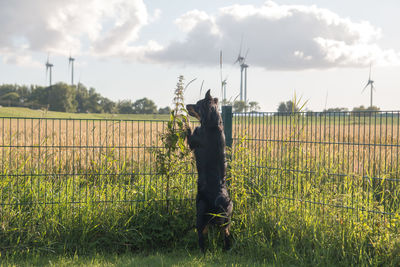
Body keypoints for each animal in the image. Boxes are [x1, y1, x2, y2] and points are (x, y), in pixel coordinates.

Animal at [186, 90, 233, 253]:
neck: (213, 123)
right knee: (226, 234)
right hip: (225, 221)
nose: (186, 105)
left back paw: (202, 252)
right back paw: (226, 250)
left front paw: (183, 120)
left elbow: (188, 128)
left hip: (199, 212)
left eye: (196, 104)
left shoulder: (192, 141)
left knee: (201, 236)